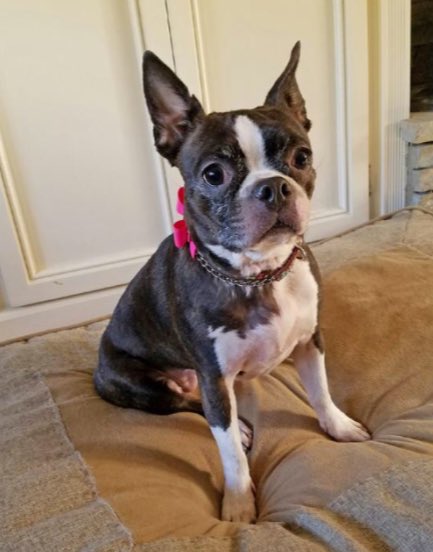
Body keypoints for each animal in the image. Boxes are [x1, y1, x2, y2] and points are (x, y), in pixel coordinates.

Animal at [94, 42, 370, 523]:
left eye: (301, 157)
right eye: (213, 174)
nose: (274, 187)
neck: (261, 275)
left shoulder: (310, 342)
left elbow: (320, 392)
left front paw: (338, 426)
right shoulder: (214, 376)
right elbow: (229, 453)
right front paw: (239, 502)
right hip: (142, 385)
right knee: (191, 407)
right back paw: (238, 428)